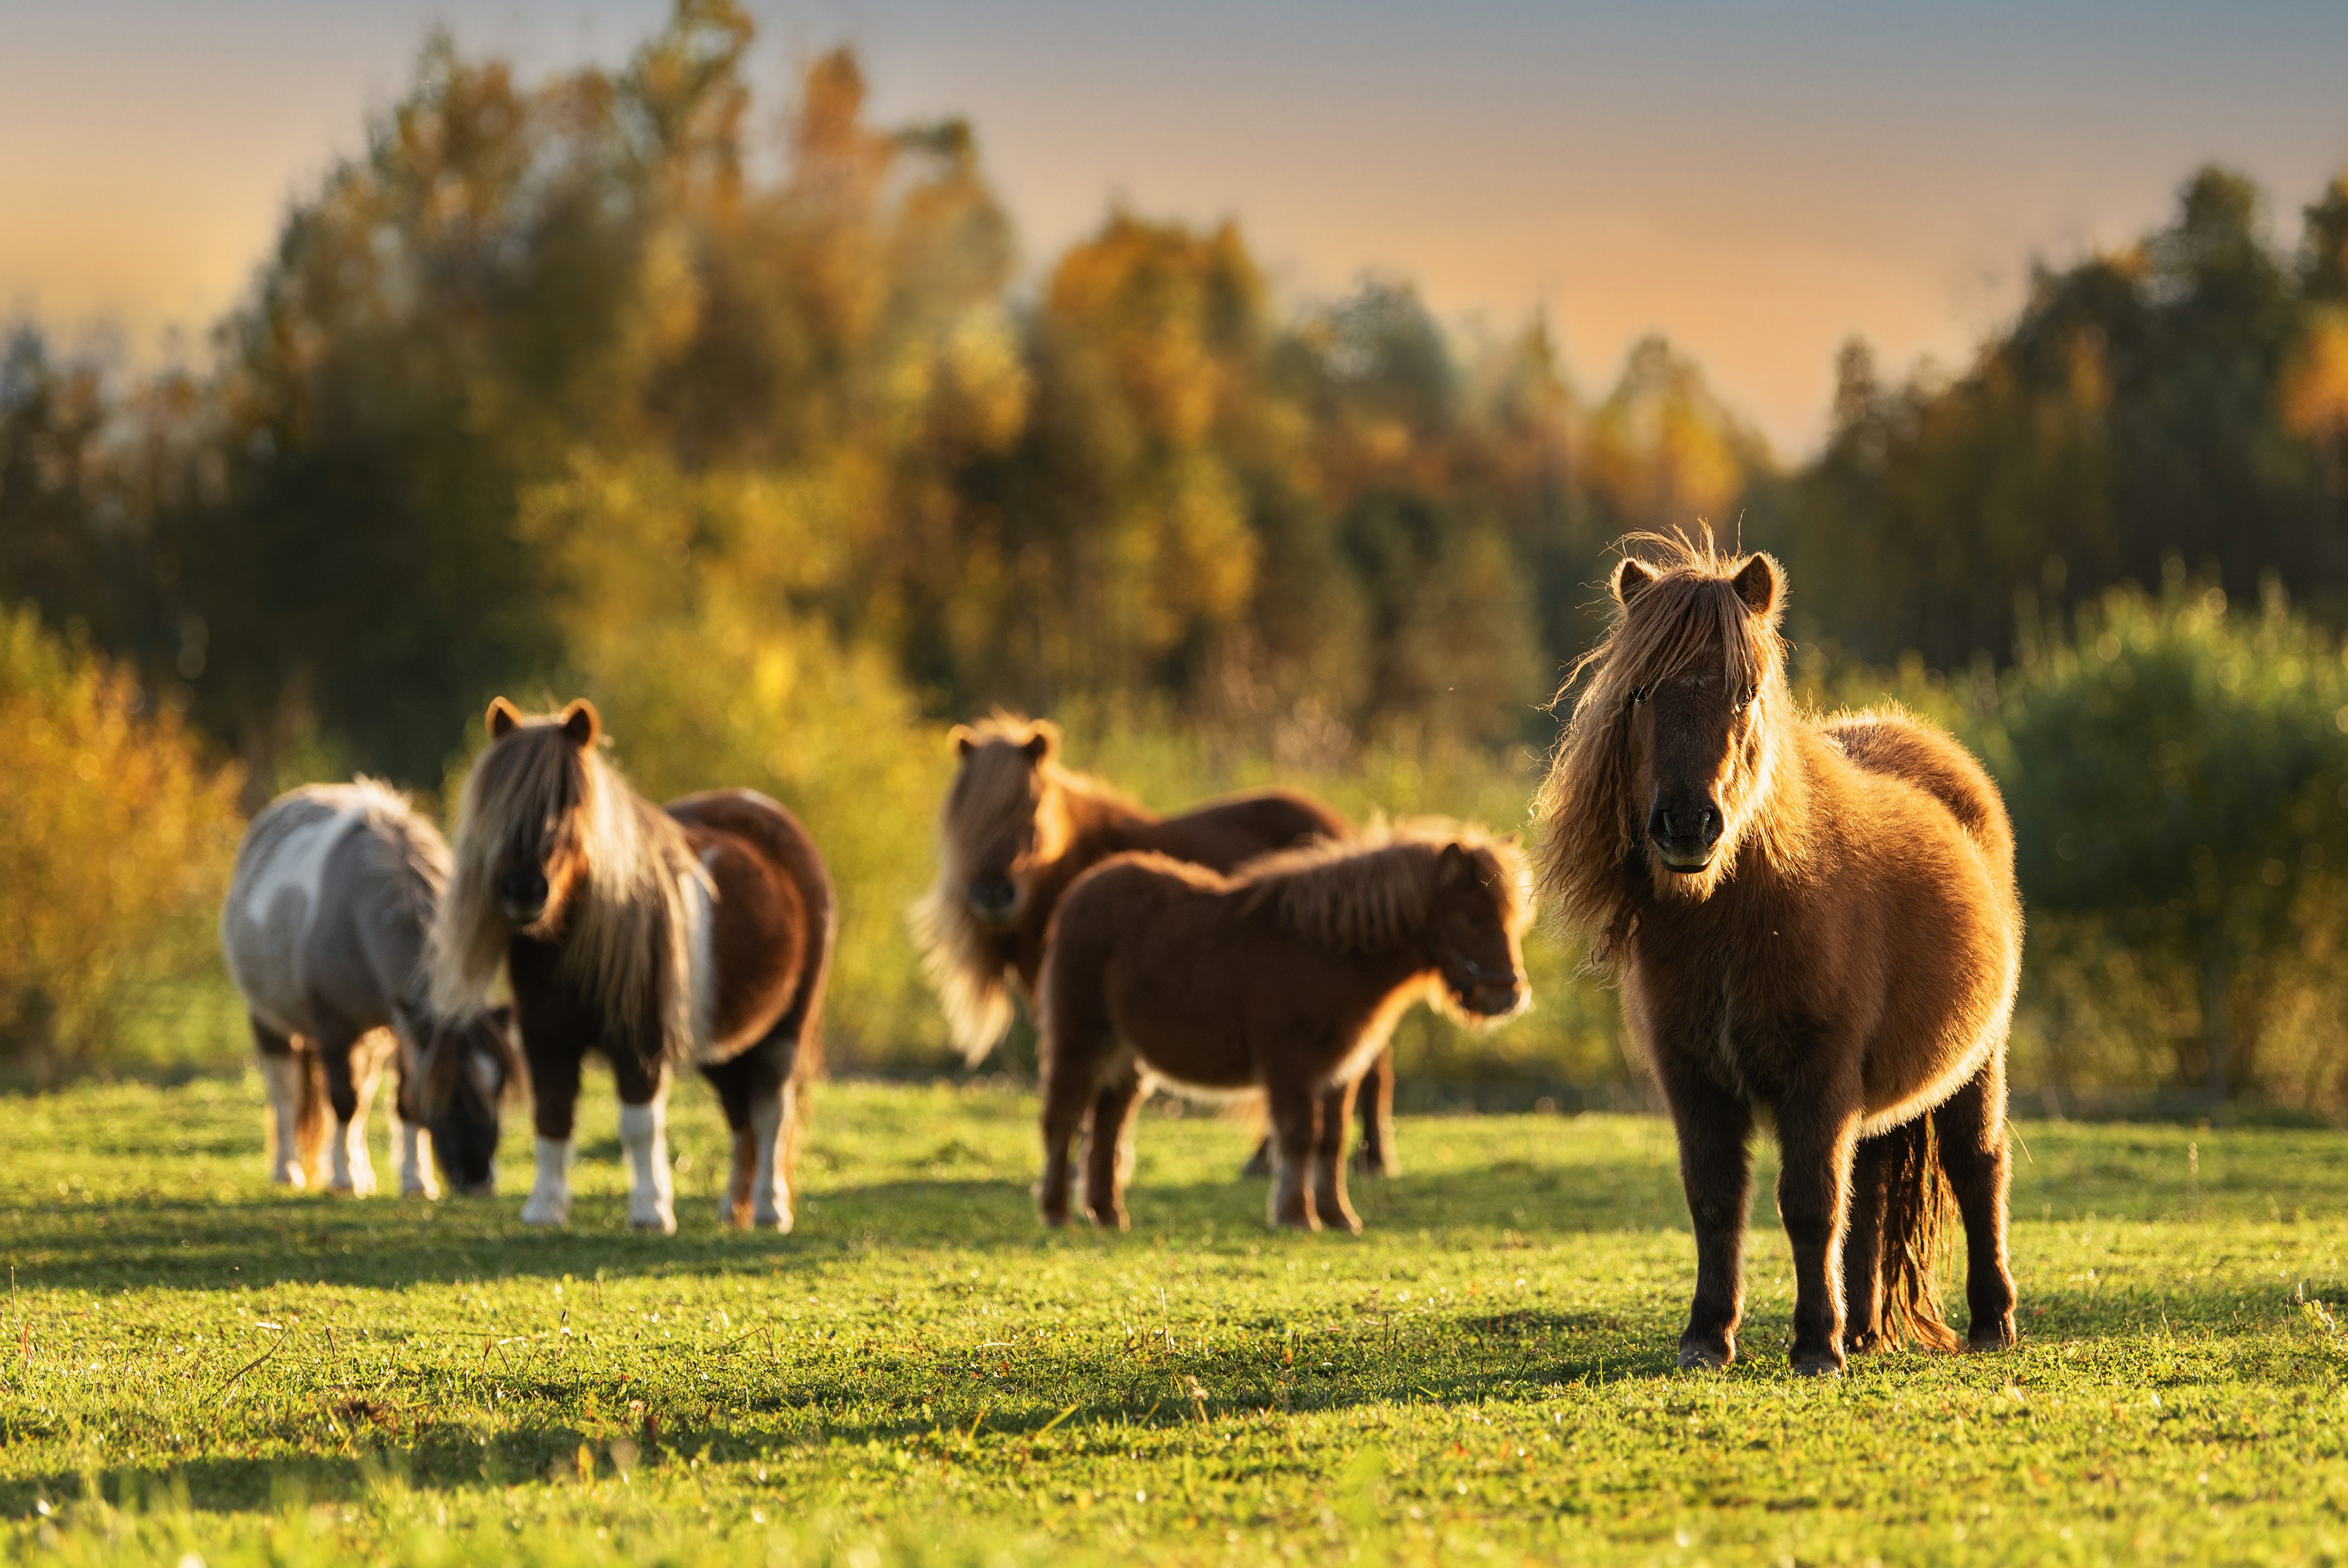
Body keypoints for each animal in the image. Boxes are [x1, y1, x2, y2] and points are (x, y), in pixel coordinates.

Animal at [217, 779, 523, 1192]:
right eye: (447, 1090)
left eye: (500, 1085)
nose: (477, 1179)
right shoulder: (334, 1030)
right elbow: (342, 1100)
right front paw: (343, 1178)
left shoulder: (403, 1030)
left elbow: (402, 1104)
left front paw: (414, 1179)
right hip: (270, 1022)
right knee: (287, 1095)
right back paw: (288, 1169)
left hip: (373, 1041)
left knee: (359, 1100)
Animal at [432, 699, 836, 1239]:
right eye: (499, 804)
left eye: (568, 804)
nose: (523, 889)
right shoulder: (545, 1038)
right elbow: (552, 1117)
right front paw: (545, 1209)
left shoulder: (640, 1042)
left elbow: (639, 1126)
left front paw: (650, 1212)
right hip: (726, 1047)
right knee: (741, 1116)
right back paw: (734, 1208)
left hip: (784, 1031)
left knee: (773, 1113)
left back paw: (771, 1209)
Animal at [1037, 821, 1531, 1239]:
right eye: (1471, 918)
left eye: (1512, 920)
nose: (1507, 997)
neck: (1328, 954)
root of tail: (1081, 890)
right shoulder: (1290, 1067)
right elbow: (1298, 1137)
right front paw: (1296, 1216)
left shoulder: (1339, 1072)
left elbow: (1331, 1142)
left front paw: (1339, 1218)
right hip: (1081, 1040)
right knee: (1063, 1119)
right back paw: (1057, 1213)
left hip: (1126, 1057)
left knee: (1108, 1125)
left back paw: (1108, 1214)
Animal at [1531, 535, 2029, 1371]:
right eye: (1640, 694)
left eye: (1744, 694)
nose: (1687, 825)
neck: (1739, 918)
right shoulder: (1694, 1079)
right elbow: (1716, 1200)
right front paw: (1708, 1336)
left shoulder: (1817, 1076)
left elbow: (1808, 1204)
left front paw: (1814, 1345)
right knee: (1873, 1192)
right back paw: (1865, 1329)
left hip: (1979, 1060)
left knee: (1978, 1167)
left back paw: (1990, 1321)